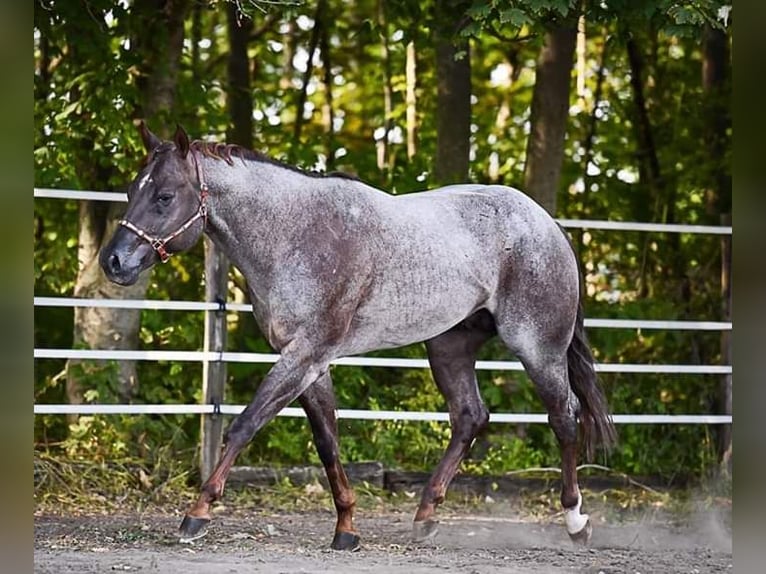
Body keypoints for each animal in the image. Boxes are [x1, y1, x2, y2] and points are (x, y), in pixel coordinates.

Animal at [100, 124, 616, 552]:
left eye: (165, 196)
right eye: (132, 190)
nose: (114, 262)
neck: (296, 234)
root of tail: (547, 224)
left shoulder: (304, 354)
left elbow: (245, 425)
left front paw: (197, 514)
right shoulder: (310, 362)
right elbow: (328, 441)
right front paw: (346, 529)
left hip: (538, 347)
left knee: (564, 417)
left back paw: (576, 522)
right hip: (448, 347)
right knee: (470, 416)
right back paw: (425, 516)